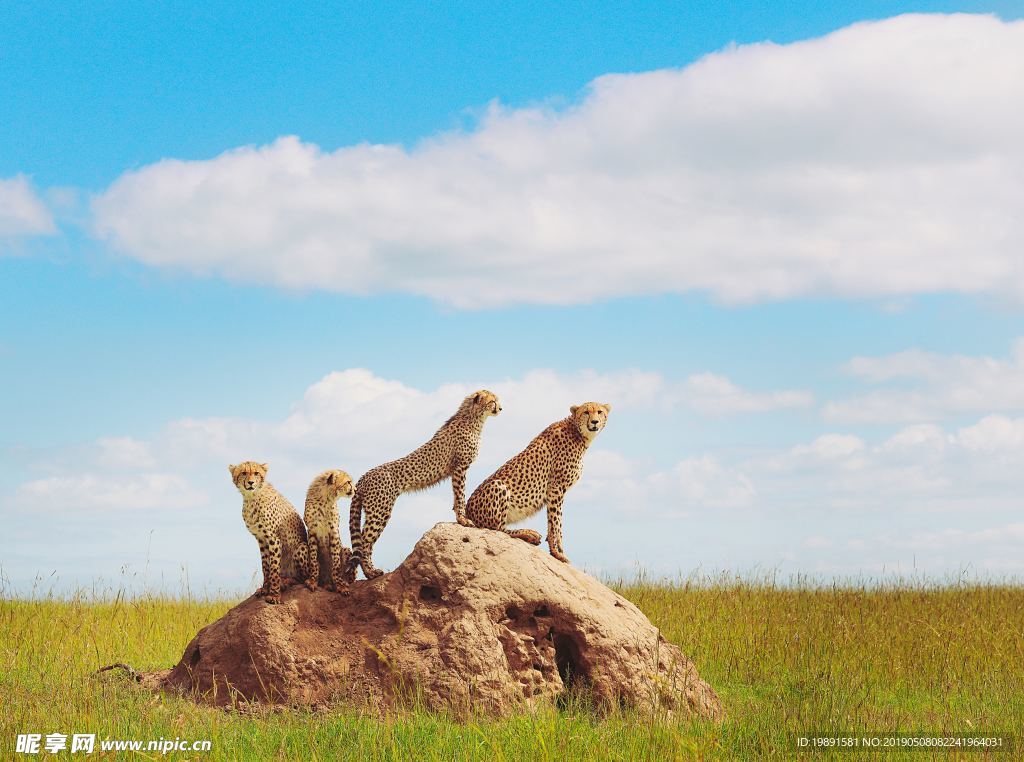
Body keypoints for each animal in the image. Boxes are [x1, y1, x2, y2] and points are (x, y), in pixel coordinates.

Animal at [230, 460, 309, 602]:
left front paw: (274, 594)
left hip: (301, 547)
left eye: (256, 473)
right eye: (243, 473)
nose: (251, 482)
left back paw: (286, 582)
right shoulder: (261, 539)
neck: (252, 497)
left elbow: (274, 567)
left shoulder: (273, 538)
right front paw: (265, 589)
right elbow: (265, 566)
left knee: (302, 578)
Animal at [346, 389, 501, 581]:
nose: (500, 408)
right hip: (380, 511)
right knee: (365, 543)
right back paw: (371, 572)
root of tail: (363, 477)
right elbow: (460, 494)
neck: (473, 418)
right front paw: (463, 519)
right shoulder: (460, 468)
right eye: (493, 401)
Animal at [468, 401, 610, 561]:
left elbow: (552, 522)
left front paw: (555, 550)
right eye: (586, 412)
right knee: (497, 528)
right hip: (498, 484)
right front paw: (558, 552)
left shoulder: (554, 492)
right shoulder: (556, 488)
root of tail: (466, 511)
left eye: (599, 412)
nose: (595, 422)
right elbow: (557, 522)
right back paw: (529, 534)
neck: (578, 432)